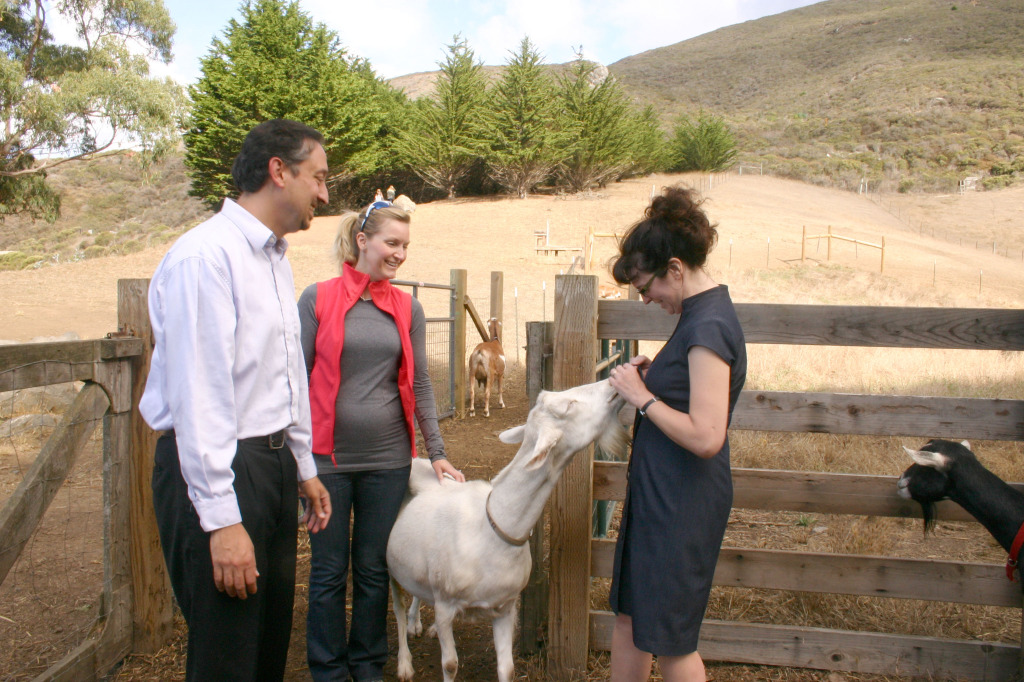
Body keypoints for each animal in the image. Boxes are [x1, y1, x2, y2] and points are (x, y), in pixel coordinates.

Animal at [385, 376, 626, 679]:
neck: (492, 528)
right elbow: (450, 665)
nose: (612, 382)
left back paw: (416, 623)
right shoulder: (445, 605)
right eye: (569, 405)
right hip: (389, 562)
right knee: (397, 606)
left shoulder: (505, 606)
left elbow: (507, 669)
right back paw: (404, 663)